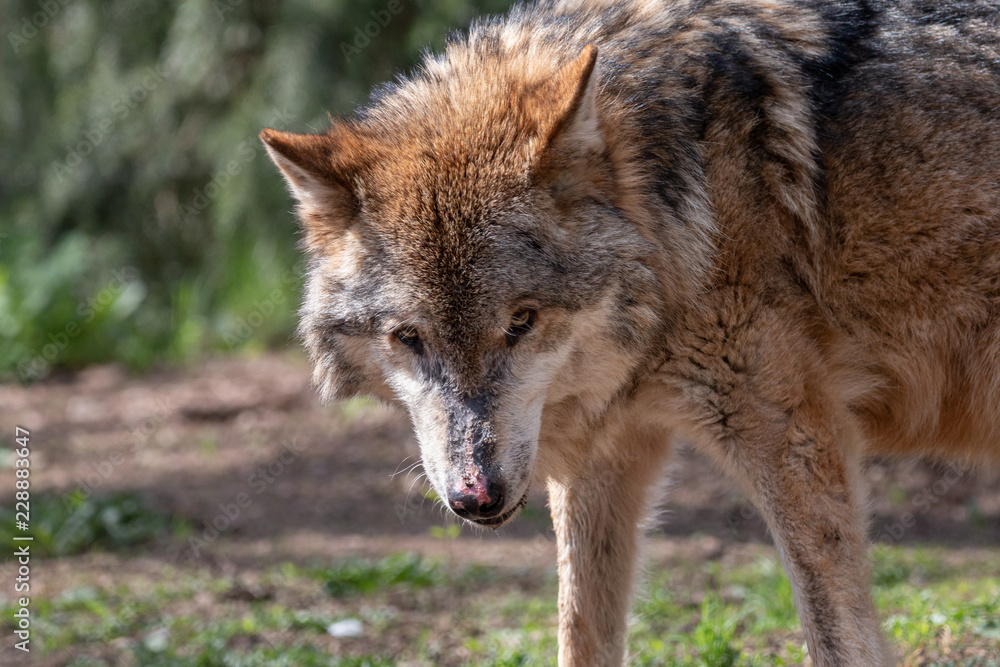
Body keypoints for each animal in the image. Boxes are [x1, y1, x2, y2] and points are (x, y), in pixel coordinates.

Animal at [260, 2, 1000, 664]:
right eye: (410, 337)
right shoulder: (603, 454)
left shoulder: (793, 434)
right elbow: (580, 636)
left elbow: (839, 639)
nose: (476, 495)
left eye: (521, 322)